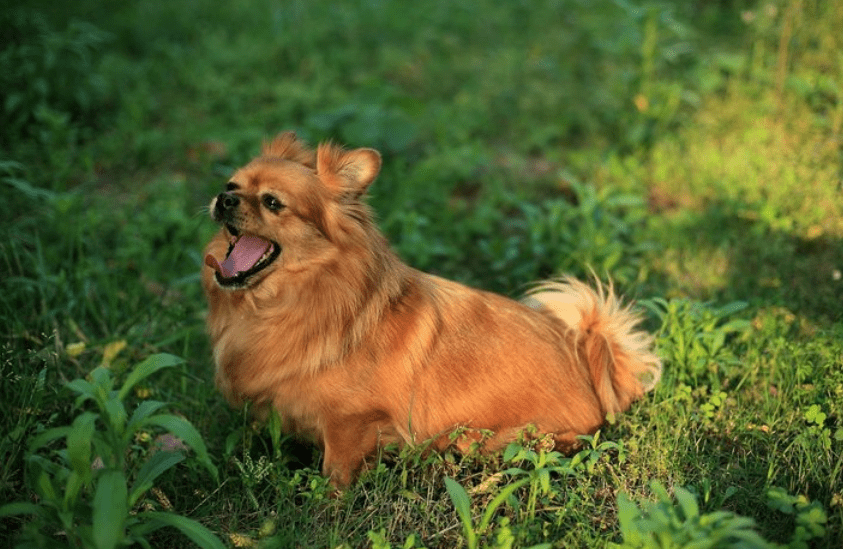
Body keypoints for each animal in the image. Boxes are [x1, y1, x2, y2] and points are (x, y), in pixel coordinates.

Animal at [201, 133, 664, 488]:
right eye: (231, 184)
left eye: (272, 203)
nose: (223, 198)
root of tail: (586, 358)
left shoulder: (350, 426)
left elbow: (336, 476)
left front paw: (326, 512)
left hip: (503, 438)